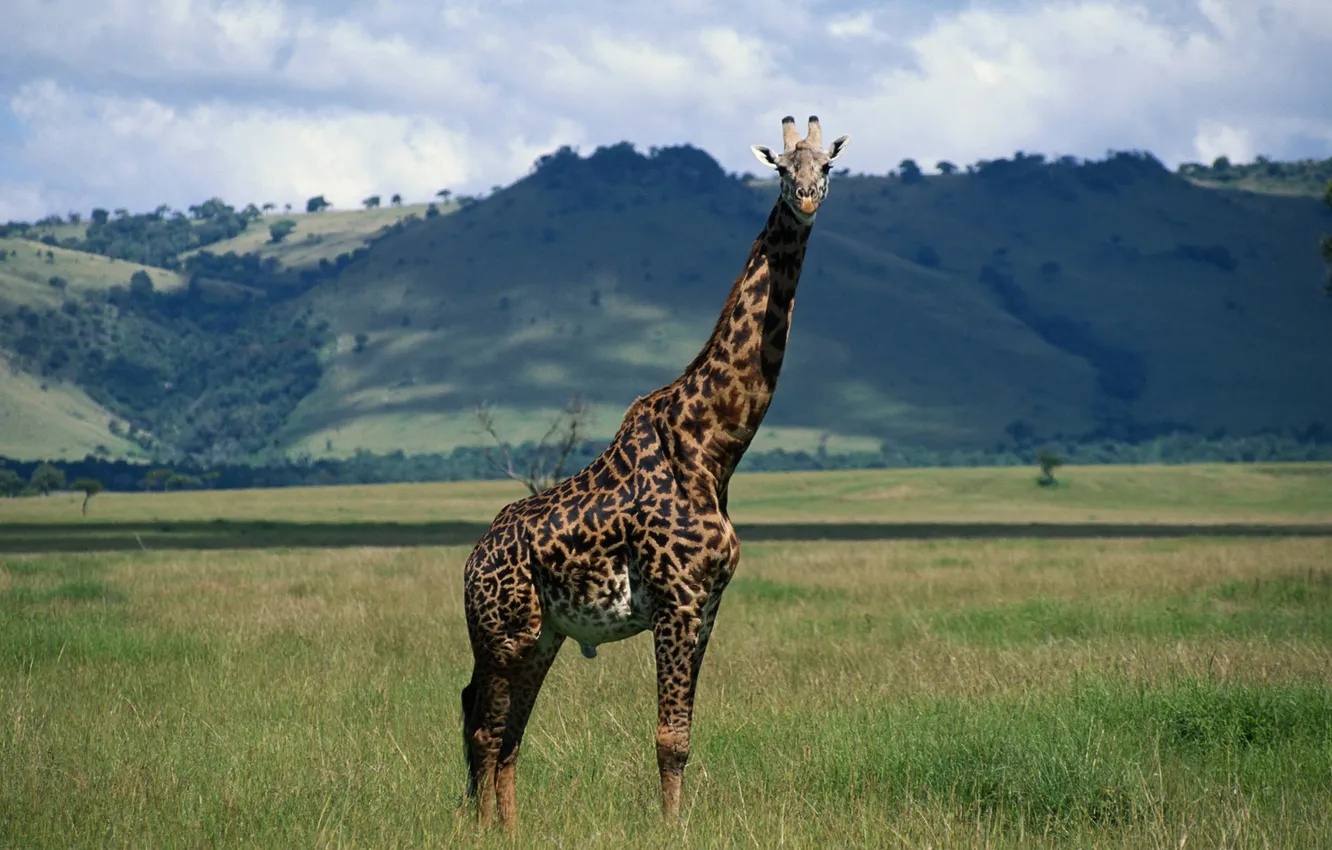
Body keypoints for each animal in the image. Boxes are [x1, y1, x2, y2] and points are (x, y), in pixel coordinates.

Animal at [461, 115, 849, 829]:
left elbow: (687, 734)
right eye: (781, 167)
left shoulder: (710, 606)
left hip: (542, 637)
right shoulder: (676, 599)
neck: (714, 448)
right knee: (483, 726)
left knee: (506, 732)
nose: (807, 198)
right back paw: (479, 831)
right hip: (502, 632)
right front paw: (672, 829)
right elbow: (669, 738)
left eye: (828, 166)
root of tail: (470, 561)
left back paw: (511, 829)